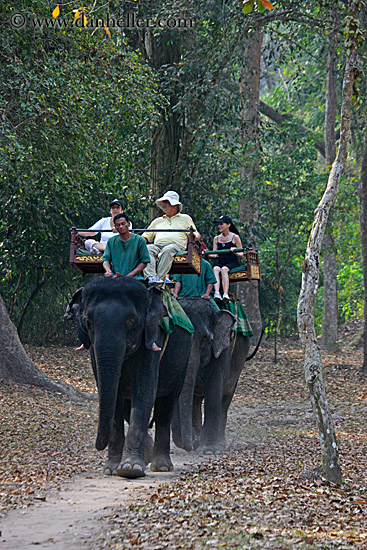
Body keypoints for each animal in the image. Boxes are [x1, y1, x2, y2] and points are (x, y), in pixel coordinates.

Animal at [65, 278, 193, 480]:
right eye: (88, 321)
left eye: (132, 320)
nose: (98, 445)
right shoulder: (94, 350)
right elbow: (112, 395)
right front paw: (111, 468)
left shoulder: (152, 337)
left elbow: (144, 390)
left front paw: (130, 469)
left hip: (183, 360)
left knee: (166, 406)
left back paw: (161, 466)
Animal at [172, 300, 262, 454]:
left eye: (205, 338)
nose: (190, 445)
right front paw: (196, 442)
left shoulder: (223, 348)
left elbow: (214, 387)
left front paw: (209, 450)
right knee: (196, 400)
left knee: (225, 398)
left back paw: (219, 443)